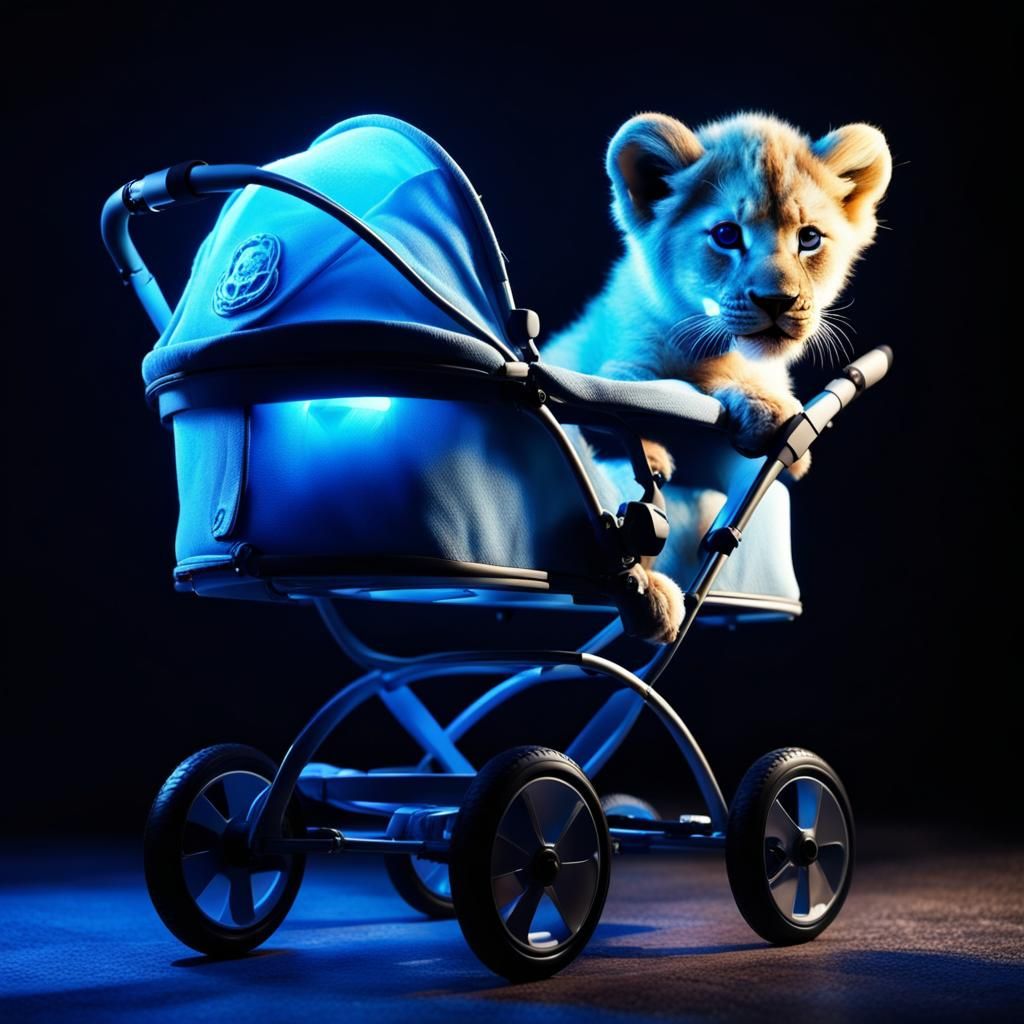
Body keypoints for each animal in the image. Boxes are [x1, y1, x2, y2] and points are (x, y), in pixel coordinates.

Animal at [541, 111, 893, 643]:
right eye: (726, 235)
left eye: (809, 238)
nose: (777, 302)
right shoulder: (617, 370)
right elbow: (663, 389)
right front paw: (761, 412)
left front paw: (777, 421)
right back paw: (653, 601)